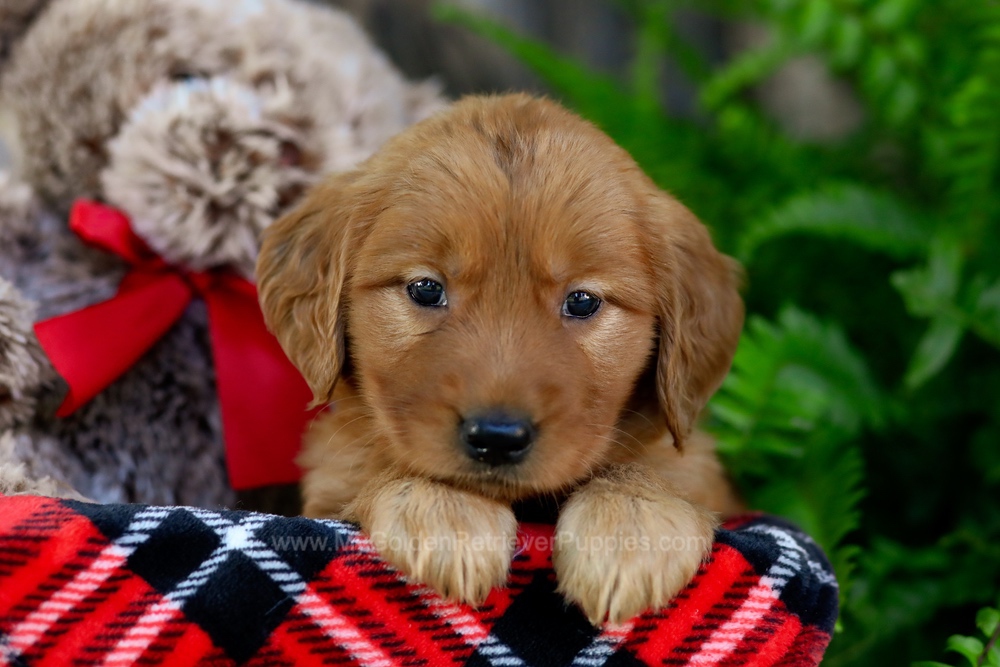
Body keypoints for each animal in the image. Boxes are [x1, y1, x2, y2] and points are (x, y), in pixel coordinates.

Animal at [258, 91, 744, 624]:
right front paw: (443, 511)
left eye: (582, 301)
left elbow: (657, 466)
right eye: (425, 289)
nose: (496, 436)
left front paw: (630, 527)